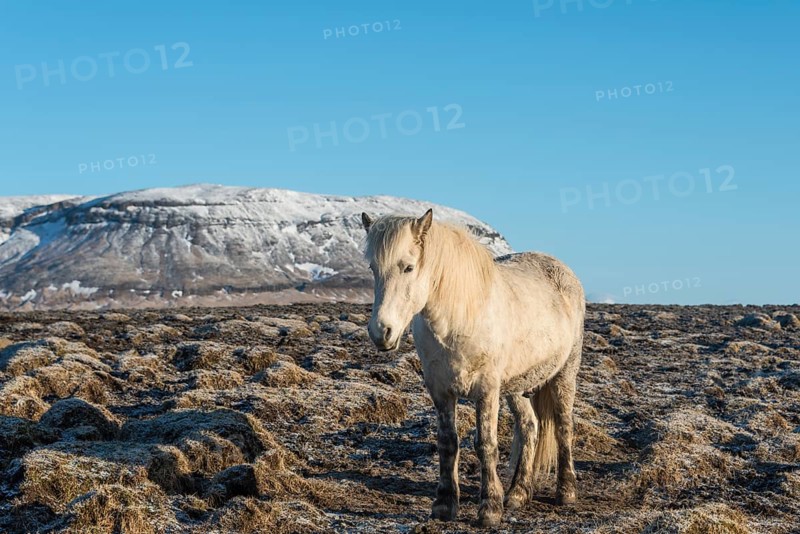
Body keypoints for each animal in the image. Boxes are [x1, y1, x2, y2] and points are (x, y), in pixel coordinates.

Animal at [361, 209, 585, 527]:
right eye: (372, 268)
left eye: (408, 267)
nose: (381, 332)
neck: (459, 319)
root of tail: (561, 269)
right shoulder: (440, 390)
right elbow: (447, 442)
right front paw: (444, 505)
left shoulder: (487, 389)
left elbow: (486, 444)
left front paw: (489, 509)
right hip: (516, 386)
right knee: (530, 426)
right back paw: (518, 493)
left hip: (565, 373)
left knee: (564, 426)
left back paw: (566, 492)